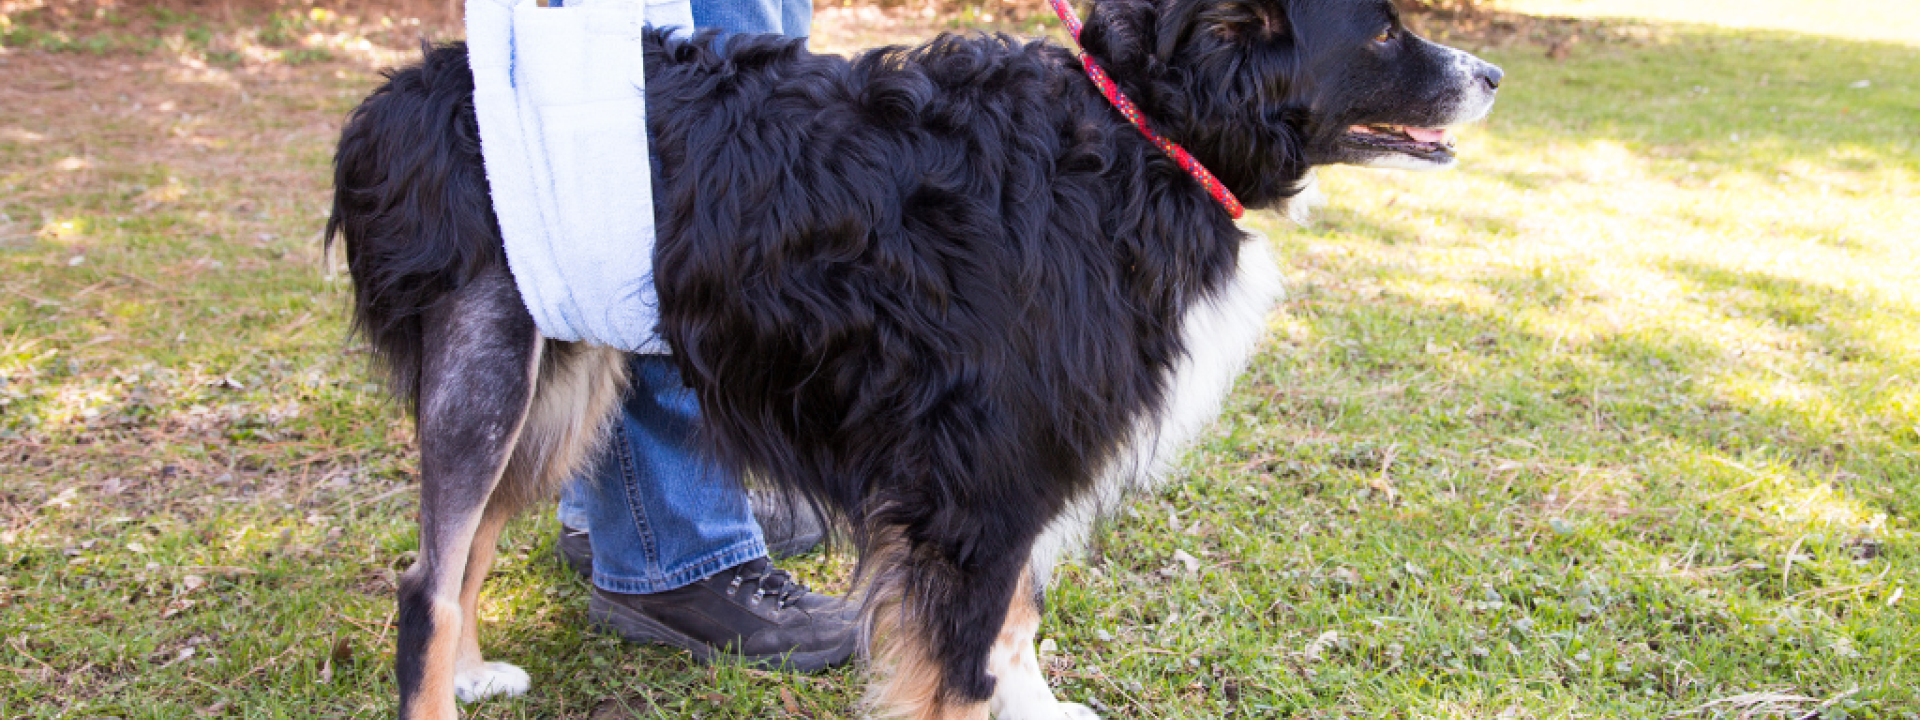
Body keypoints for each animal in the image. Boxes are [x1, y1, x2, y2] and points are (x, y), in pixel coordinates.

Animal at [326, 0, 1497, 718]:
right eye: (1386, 33)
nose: (1489, 72)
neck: (1139, 135)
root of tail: (405, 94)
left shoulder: (1011, 466)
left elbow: (1015, 623)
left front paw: (1039, 708)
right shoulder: (981, 478)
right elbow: (967, 661)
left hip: (557, 376)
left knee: (463, 557)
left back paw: (471, 677)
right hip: (494, 366)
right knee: (426, 582)